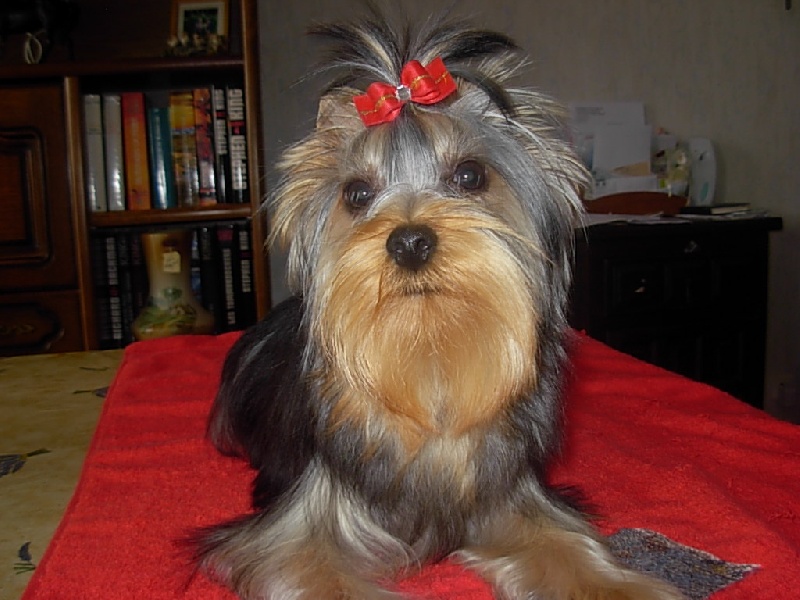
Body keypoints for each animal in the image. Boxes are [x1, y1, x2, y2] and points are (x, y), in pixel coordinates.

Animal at [196, 9, 684, 600]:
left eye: (470, 175)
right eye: (356, 193)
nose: (409, 241)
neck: (430, 357)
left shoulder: (512, 497)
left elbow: (567, 544)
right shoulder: (292, 528)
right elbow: (304, 564)